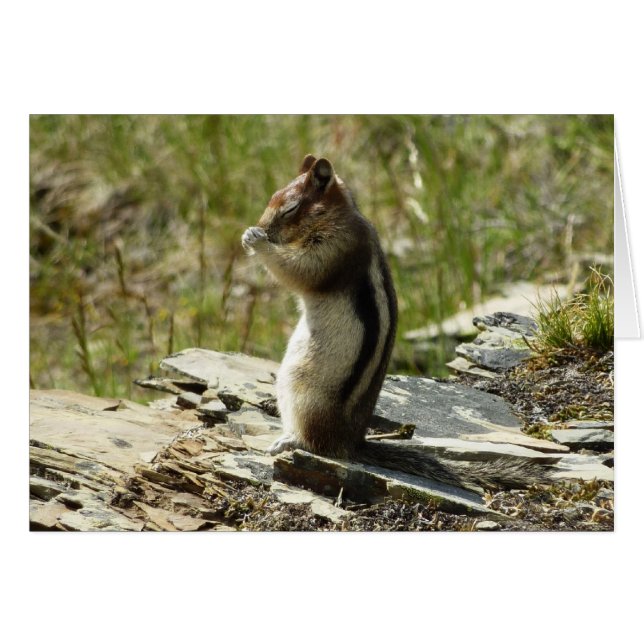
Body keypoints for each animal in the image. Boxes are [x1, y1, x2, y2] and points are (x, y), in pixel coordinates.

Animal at [242, 155, 551, 491]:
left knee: (315, 443)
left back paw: (289, 441)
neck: (338, 216)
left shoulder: (335, 247)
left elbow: (299, 270)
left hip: (301, 391)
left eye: (290, 209)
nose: (262, 227)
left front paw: (257, 241)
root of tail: (350, 443)